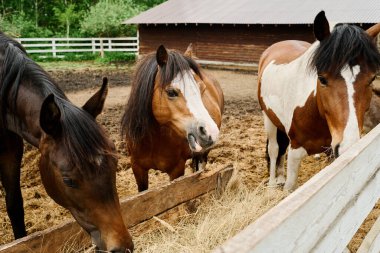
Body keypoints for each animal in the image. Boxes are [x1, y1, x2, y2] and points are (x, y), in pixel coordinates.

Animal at [121, 44, 223, 191]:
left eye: (202, 88)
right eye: (171, 92)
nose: (211, 132)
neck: (154, 141)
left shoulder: (176, 170)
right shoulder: (137, 168)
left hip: (203, 154)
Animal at [258, 10, 380, 191]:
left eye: (372, 79)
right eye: (322, 79)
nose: (347, 148)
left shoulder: (331, 153)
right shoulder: (294, 154)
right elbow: (290, 186)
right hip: (268, 118)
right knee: (274, 148)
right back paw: (273, 183)